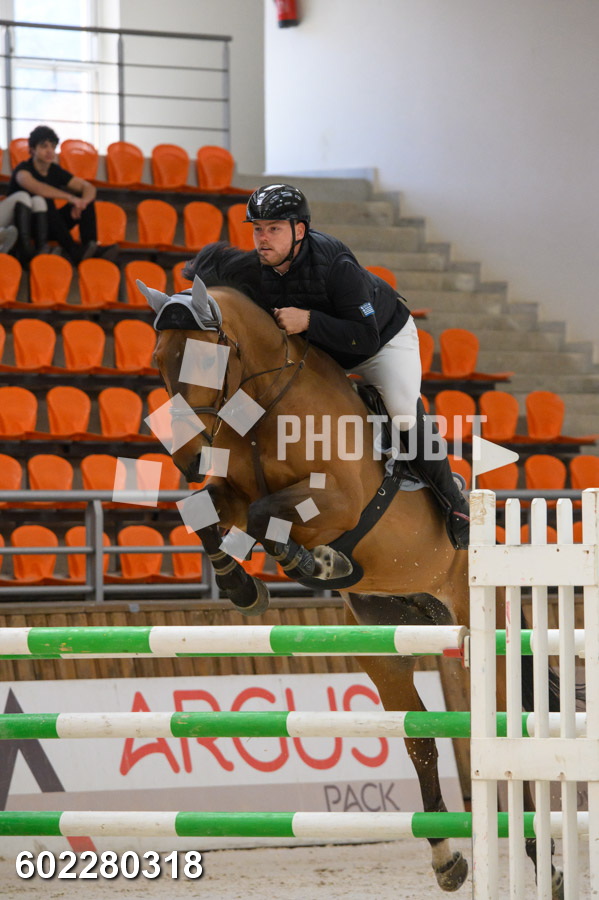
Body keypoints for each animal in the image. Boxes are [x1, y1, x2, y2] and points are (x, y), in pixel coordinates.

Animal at [138, 249, 563, 897]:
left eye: (206, 358)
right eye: (159, 361)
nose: (187, 457)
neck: (266, 405)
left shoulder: (336, 501)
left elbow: (267, 517)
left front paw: (316, 562)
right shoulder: (231, 492)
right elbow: (209, 516)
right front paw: (243, 587)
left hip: (475, 632)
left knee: (499, 726)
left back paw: (546, 863)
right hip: (384, 634)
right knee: (419, 739)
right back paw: (449, 860)